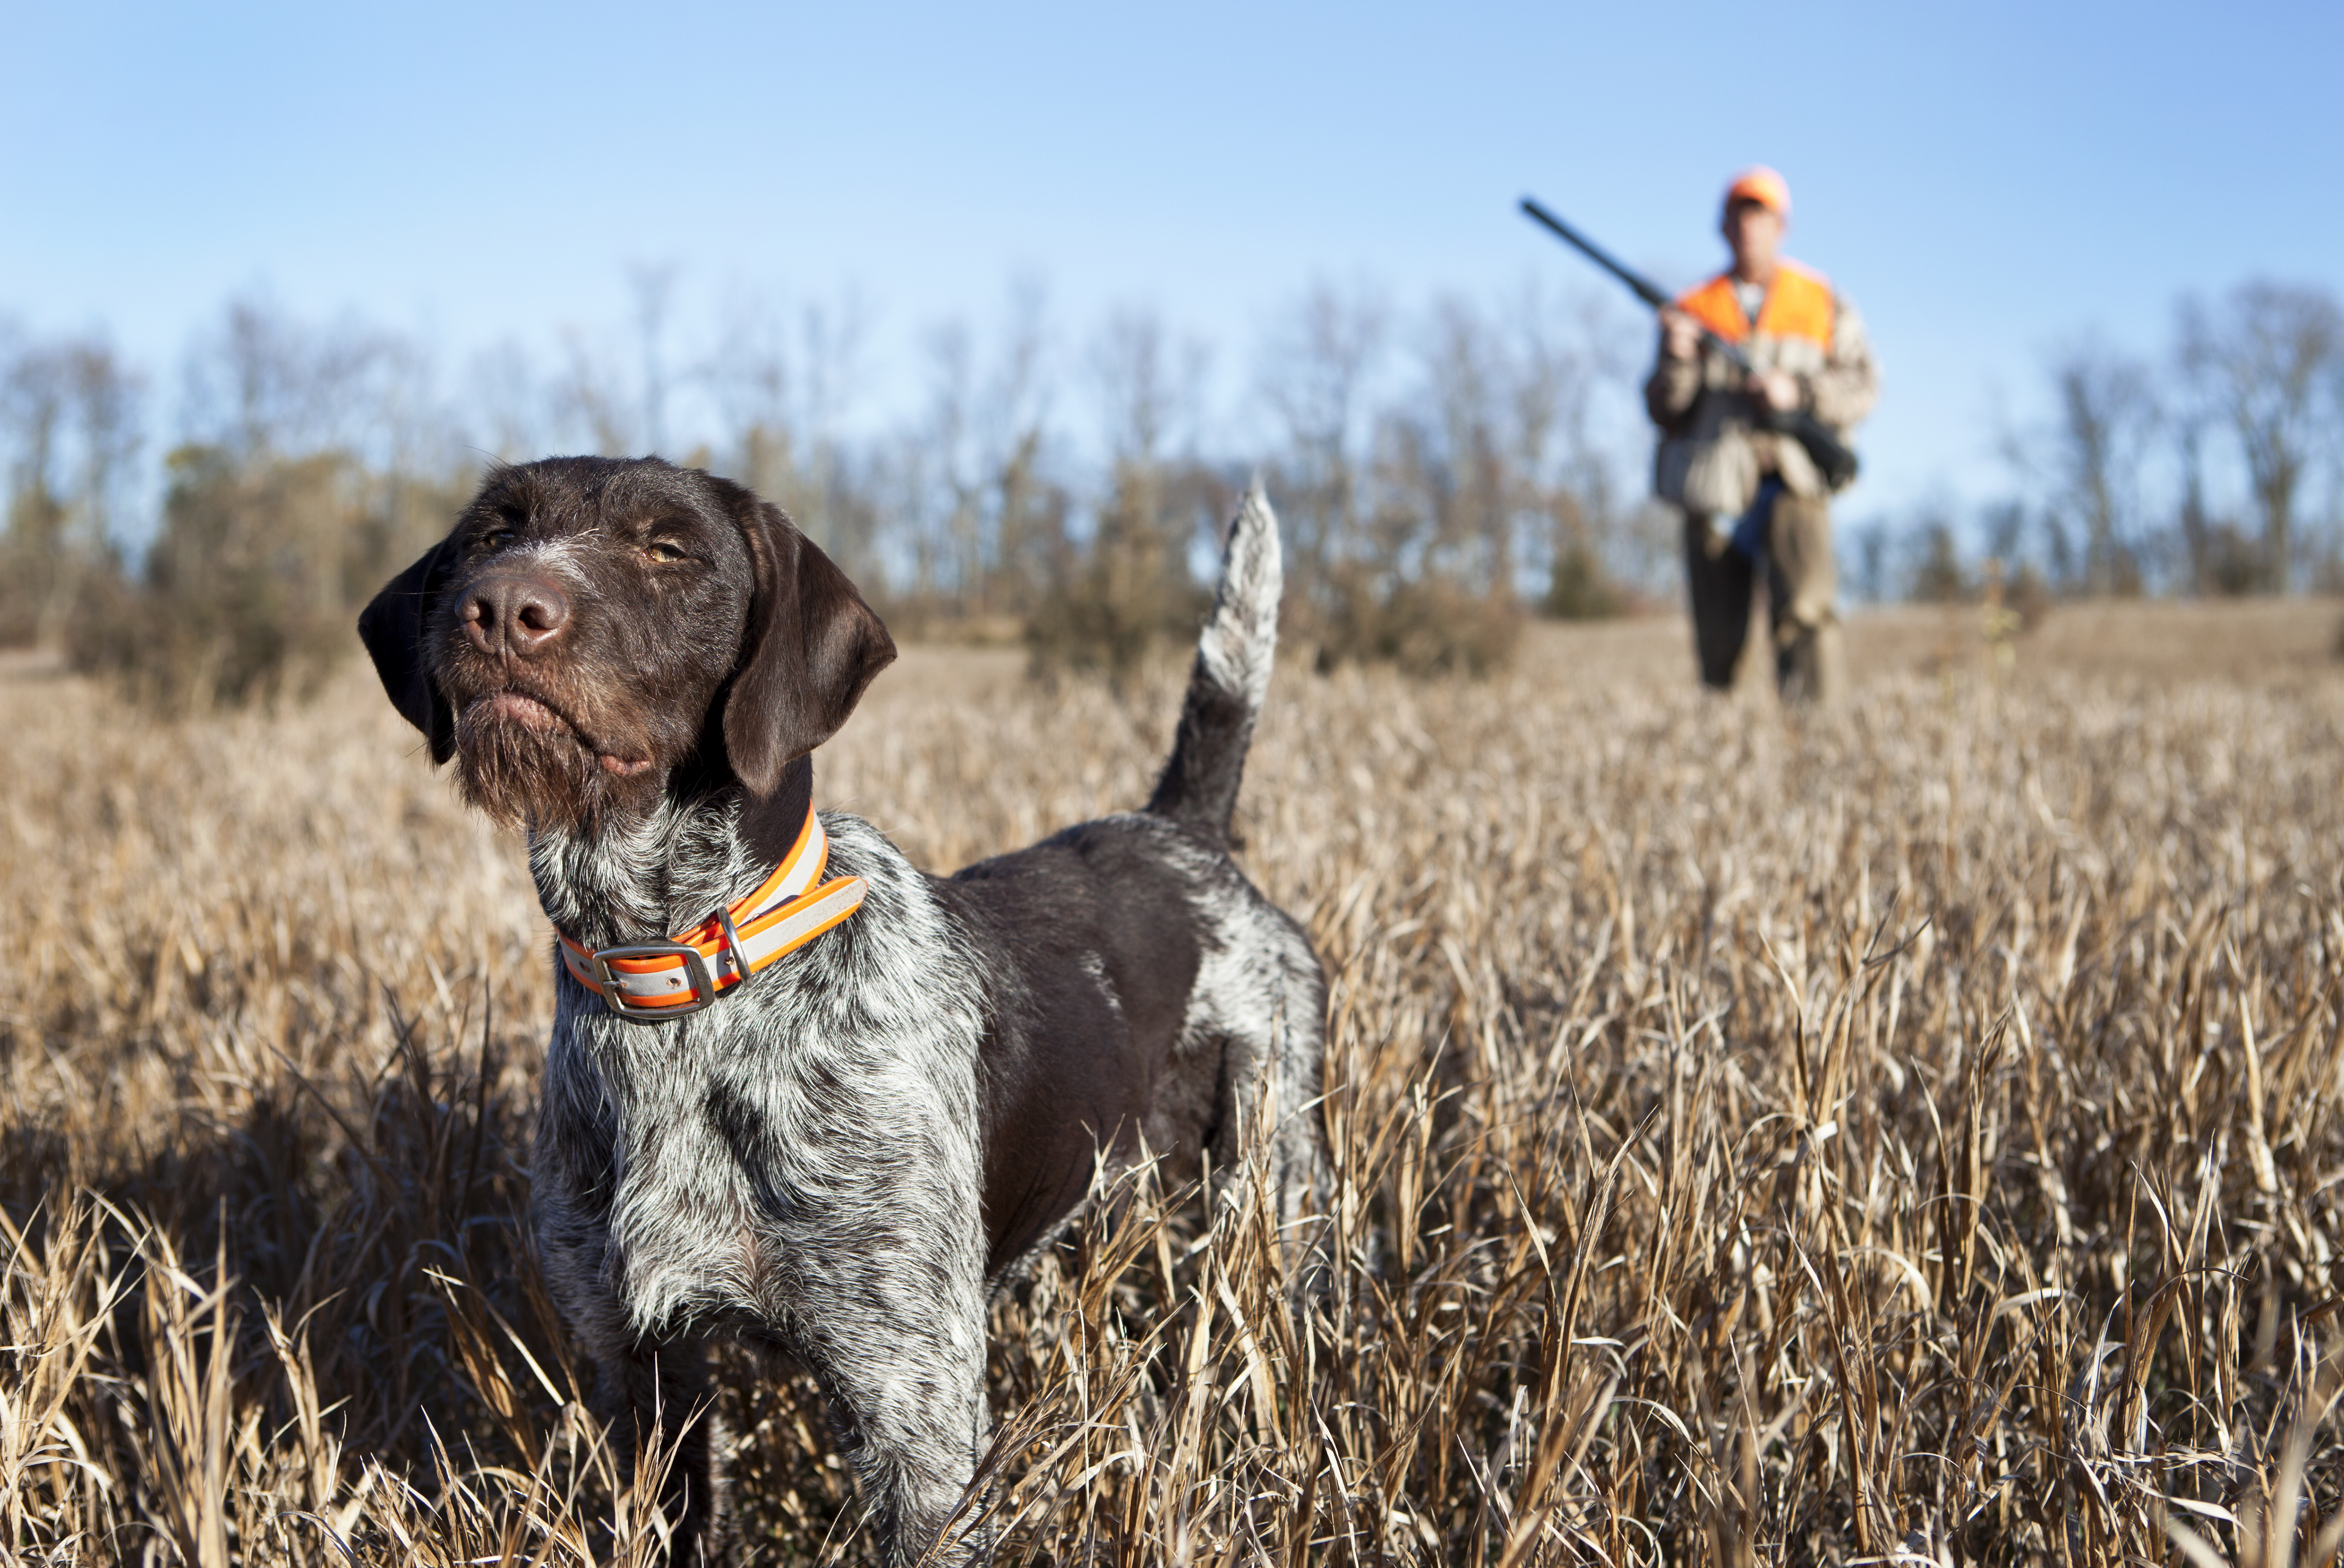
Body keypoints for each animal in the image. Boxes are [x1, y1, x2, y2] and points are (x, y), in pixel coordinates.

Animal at [356, 454, 1331, 1565]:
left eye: (669, 548)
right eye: (492, 533)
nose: (504, 607)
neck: (678, 983)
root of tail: (1183, 834)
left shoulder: (915, 1415)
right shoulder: (639, 1370)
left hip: (1279, 1188)